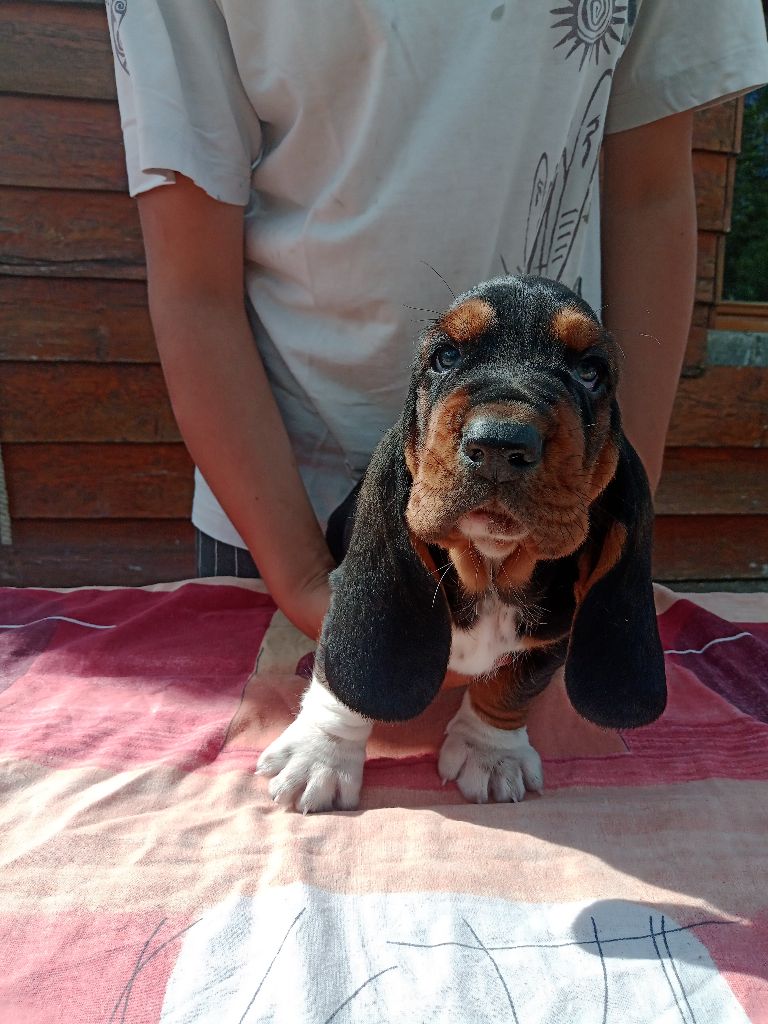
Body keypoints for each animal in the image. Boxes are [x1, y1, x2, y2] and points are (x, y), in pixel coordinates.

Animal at [259, 276, 667, 811]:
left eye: (590, 371)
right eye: (446, 357)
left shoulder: (553, 637)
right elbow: (338, 681)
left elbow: (512, 687)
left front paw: (491, 755)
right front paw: (319, 755)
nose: (498, 444)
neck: (492, 567)